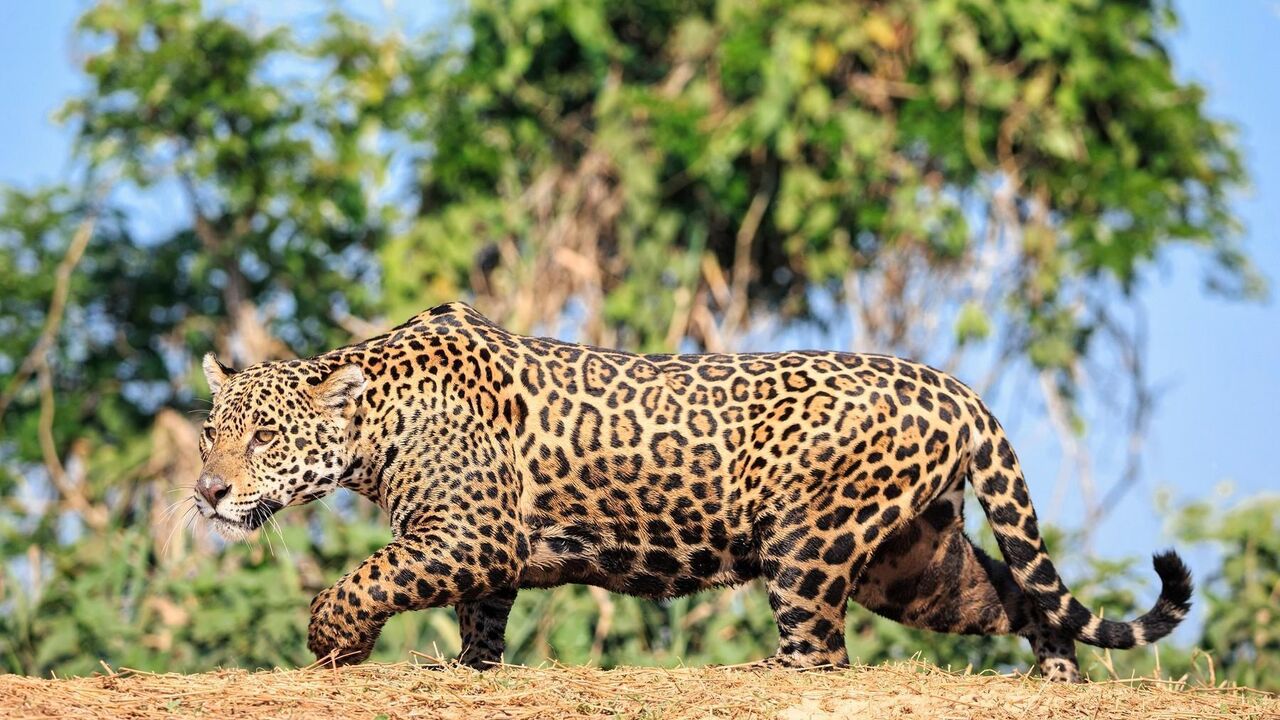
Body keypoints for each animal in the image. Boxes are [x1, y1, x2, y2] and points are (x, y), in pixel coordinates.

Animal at [195, 301, 1192, 681]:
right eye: (211, 434)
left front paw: (335, 641)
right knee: (1014, 593)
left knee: (821, 648)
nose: (205, 493)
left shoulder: (467, 534)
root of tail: (953, 387)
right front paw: (473, 667)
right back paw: (1056, 673)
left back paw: (766, 670)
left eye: (264, 437)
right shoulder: (486, 549)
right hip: (914, 561)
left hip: (809, 540)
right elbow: (479, 615)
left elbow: (369, 577)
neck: (375, 420)